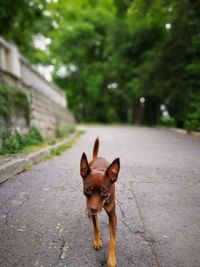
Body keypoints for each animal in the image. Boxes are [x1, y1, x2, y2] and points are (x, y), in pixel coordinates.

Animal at [80, 139, 120, 267]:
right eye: (87, 190)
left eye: (103, 191)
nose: (92, 209)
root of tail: (98, 157)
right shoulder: (93, 210)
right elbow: (96, 228)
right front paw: (97, 242)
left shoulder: (112, 213)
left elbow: (113, 239)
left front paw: (111, 258)